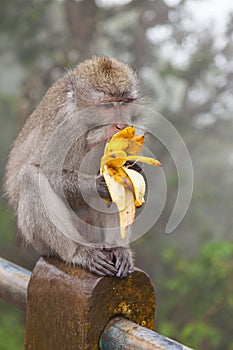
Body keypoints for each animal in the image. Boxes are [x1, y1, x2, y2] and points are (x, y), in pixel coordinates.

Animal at [4, 56, 142, 278]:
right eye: (108, 105)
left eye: (123, 103)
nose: (122, 125)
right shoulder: (65, 124)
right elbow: (48, 171)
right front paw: (99, 185)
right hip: (39, 240)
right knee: (30, 176)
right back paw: (78, 252)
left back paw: (117, 248)